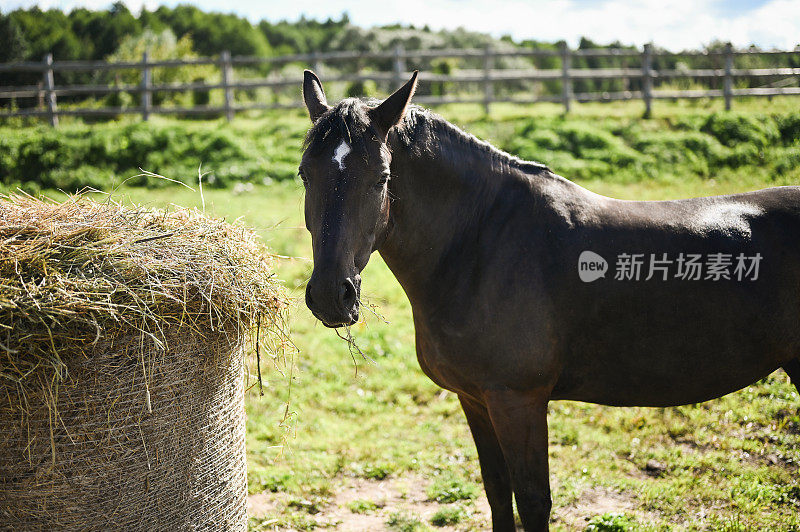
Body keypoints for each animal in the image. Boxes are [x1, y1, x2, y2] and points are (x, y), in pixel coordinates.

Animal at [298, 71, 800, 532]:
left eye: (382, 177)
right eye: (305, 175)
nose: (331, 295)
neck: (481, 245)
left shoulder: (518, 402)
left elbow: (533, 501)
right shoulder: (475, 399)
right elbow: (497, 491)